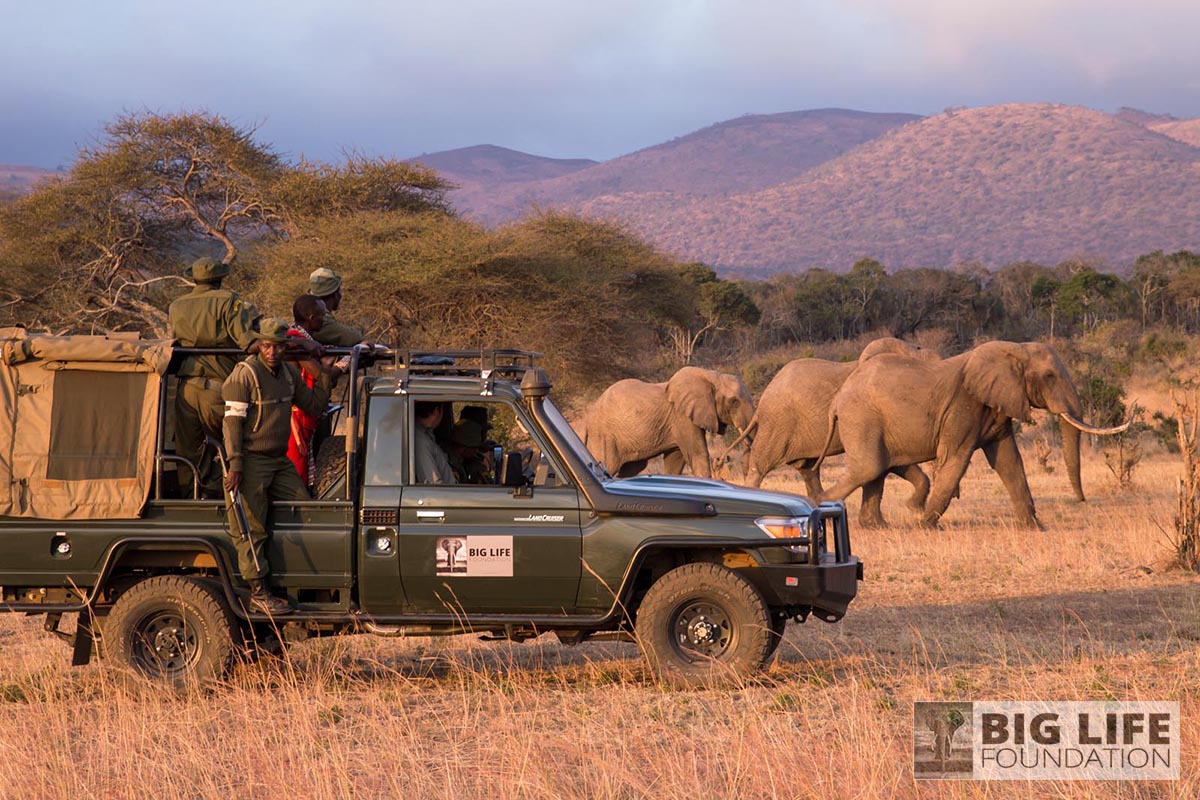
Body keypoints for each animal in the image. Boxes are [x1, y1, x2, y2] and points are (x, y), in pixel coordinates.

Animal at [576, 366, 755, 478]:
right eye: (734, 402)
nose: (720, 461)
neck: (711, 376)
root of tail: (587, 419)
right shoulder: (682, 417)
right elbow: (698, 456)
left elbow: (675, 461)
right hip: (604, 437)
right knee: (607, 463)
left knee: (632, 468)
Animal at [817, 340, 1129, 529]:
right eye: (1050, 376)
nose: (1081, 500)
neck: (1014, 350)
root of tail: (836, 400)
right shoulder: (962, 406)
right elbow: (955, 459)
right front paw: (927, 526)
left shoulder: (996, 407)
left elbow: (1008, 462)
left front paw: (1035, 528)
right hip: (861, 418)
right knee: (868, 468)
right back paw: (819, 508)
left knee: (875, 470)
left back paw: (874, 526)